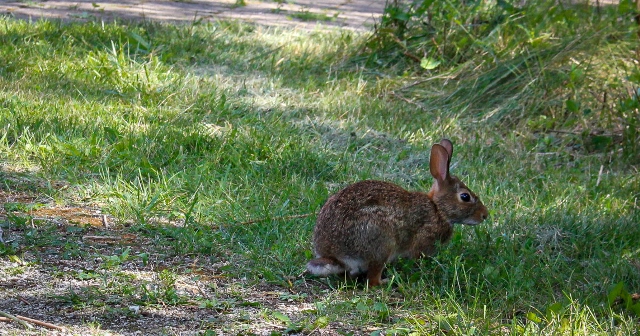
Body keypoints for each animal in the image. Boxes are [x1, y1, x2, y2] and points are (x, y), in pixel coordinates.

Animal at [308, 138, 488, 286]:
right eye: (465, 197)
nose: (485, 215)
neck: (437, 209)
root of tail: (335, 255)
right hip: (383, 243)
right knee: (372, 279)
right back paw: (386, 281)